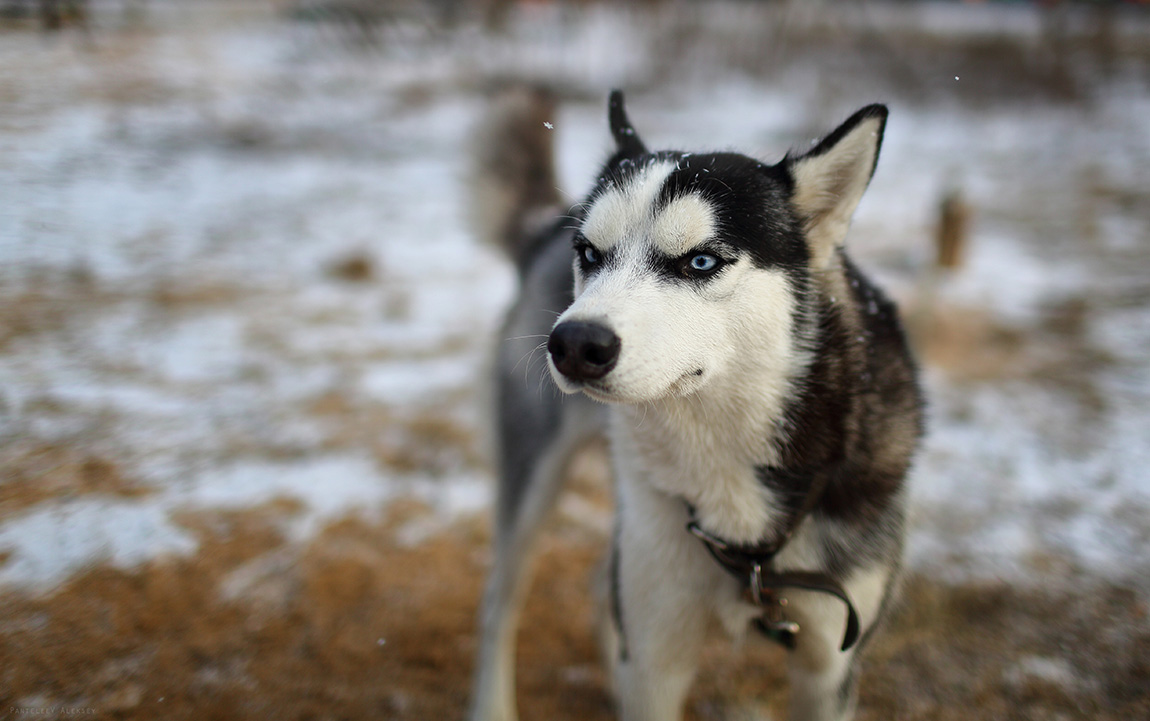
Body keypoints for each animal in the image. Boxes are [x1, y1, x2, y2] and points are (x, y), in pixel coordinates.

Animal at [466, 89, 924, 721]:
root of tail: (547, 228)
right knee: (498, 604)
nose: (573, 344)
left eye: (700, 262)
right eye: (590, 254)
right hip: (534, 477)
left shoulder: (829, 666)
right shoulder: (659, 655)